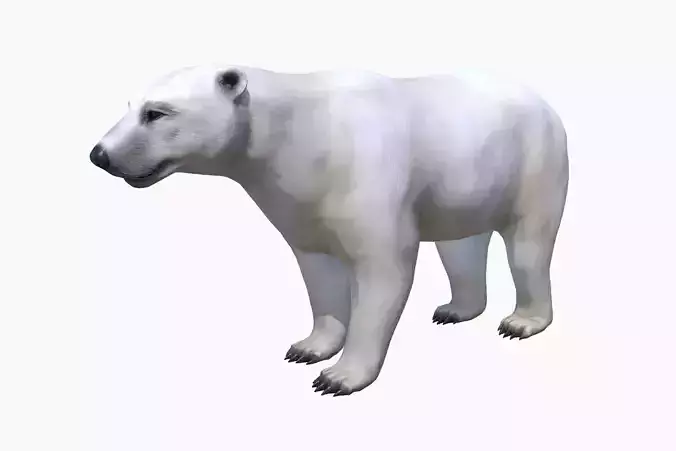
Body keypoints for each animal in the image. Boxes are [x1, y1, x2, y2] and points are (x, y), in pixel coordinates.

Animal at [90, 64, 569, 396]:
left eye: (157, 113)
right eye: (129, 107)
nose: (99, 154)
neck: (302, 136)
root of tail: (543, 100)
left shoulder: (369, 178)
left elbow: (383, 270)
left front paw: (339, 377)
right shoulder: (297, 198)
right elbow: (316, 270)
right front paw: (308, 347)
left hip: (534, 163)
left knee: (528, 246)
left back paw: (522, 321)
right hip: (468, 176)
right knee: (460, 244)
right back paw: (455, 309)